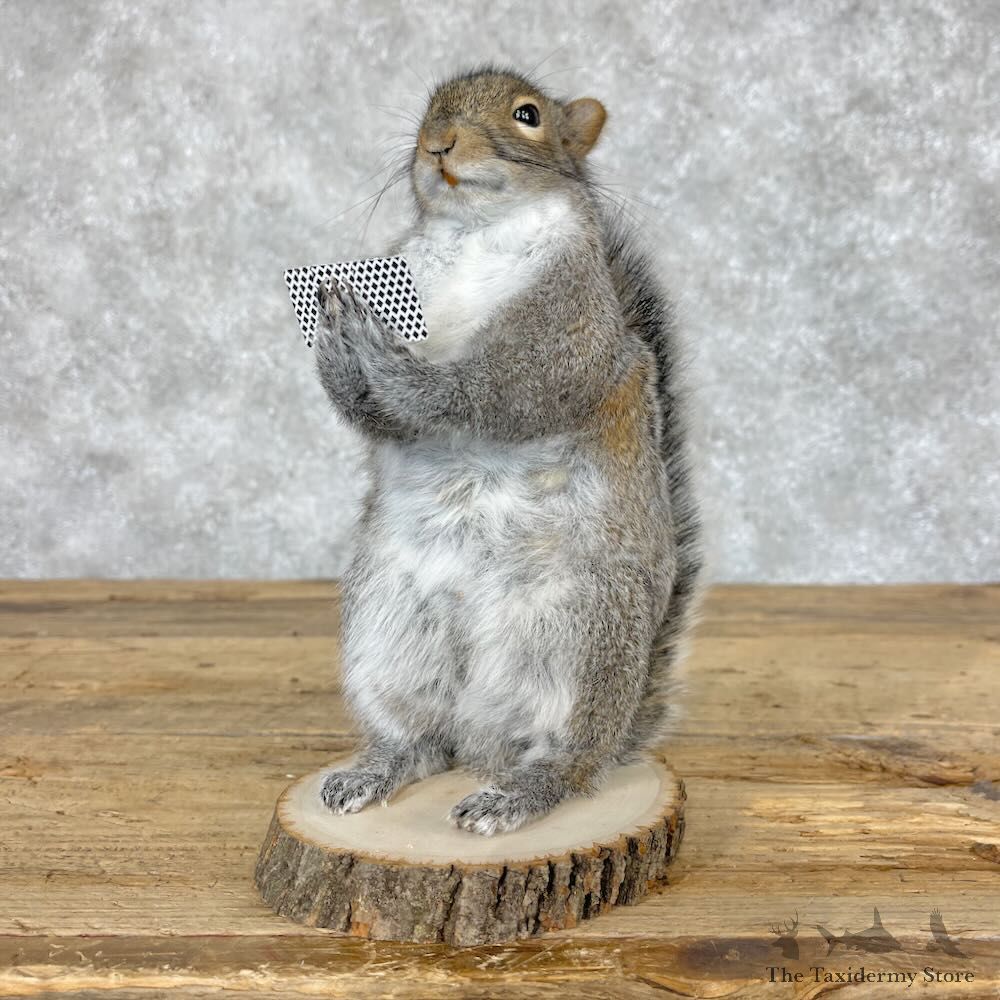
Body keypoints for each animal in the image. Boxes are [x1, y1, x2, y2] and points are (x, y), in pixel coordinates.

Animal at [313, 66, 702, 836]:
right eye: (429, 107)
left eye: (528, 116)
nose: (437, 142)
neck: (476, 233)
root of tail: (482, 741)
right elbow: (374, 415)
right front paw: (337, 338)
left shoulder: (566, 327)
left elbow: (491, 392)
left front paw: (381, 350)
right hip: (387, 630)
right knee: (422, 739)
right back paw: (377, 768)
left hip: (576, 640)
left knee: (563, 762)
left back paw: (515, 795)